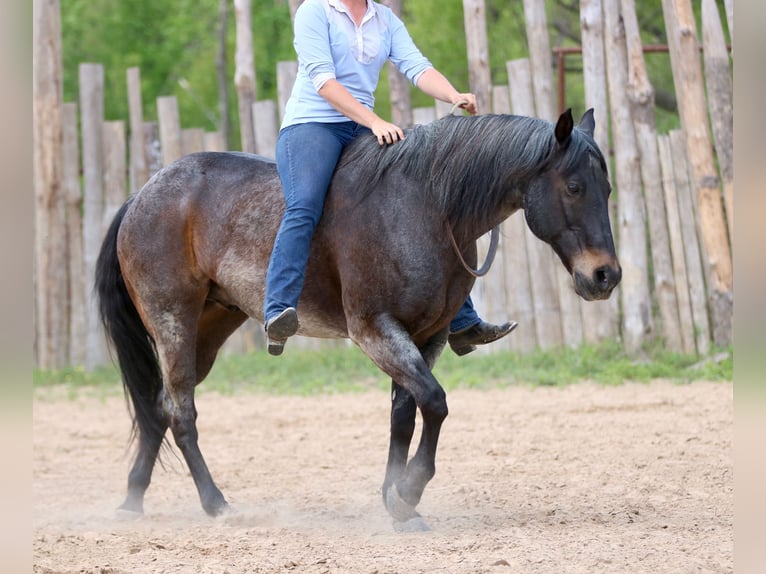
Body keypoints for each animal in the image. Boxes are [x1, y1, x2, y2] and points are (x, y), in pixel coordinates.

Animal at [95, 108, 621, 531]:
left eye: (608, 188)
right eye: (574, 187)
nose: (606, 275)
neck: (426, 208)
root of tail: (143, 194)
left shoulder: (424, 337)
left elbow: (404, 414)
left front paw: (395, 500)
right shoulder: (375, 331)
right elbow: (434, 403)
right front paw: (408, 492)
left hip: (210, 326)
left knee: (159, 405)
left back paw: (132, 499)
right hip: (172, 321)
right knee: (181, 412)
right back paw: (215, 504)